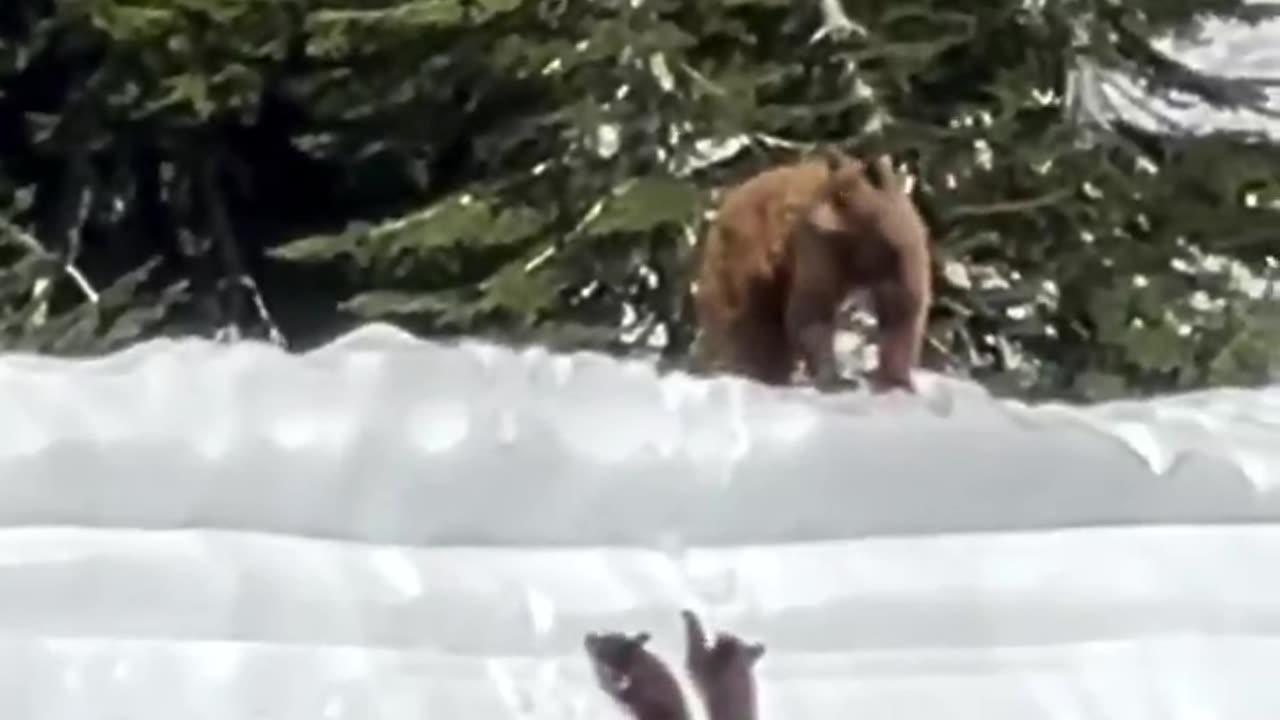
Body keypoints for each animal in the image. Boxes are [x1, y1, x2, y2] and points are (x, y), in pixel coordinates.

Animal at [696, 147, 936, 392]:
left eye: (842, 197)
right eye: (824, 192)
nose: (804, 214)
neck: (861, 242)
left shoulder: (898, 256)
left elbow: (901, 311)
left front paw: (895, 381)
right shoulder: (820, 249)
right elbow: (812, 307)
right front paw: (834, 379)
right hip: (748, 260)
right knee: (751, 320)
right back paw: (758, 372)